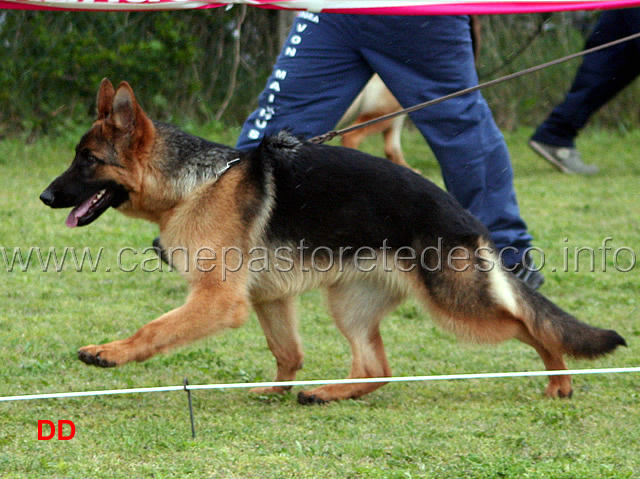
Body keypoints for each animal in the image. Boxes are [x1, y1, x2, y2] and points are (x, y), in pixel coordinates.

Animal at [41, 80, 624, 404]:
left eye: (87, 160)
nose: (45, 196)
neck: (196, 183)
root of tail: (467, 218)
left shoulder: (219, 301)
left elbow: (153, 329)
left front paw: (110, 353)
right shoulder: (268, 299)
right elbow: (287, 352)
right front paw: (277, 390)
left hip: (457, 307)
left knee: (529, 325)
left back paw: (560, 382)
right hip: (348, 303)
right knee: (378, 371)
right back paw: (327, 392)